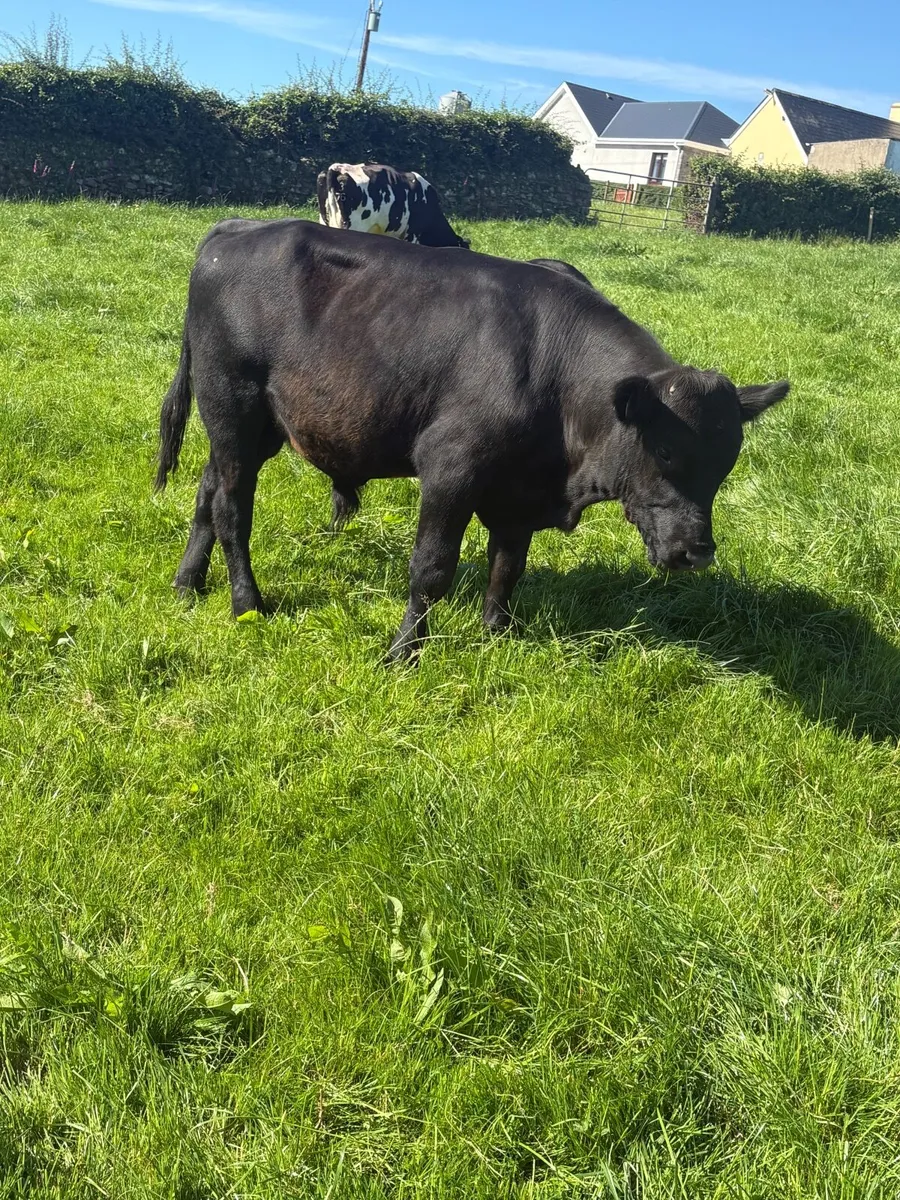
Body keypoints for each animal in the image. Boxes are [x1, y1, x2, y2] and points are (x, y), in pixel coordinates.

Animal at [155, 218, 788, 663]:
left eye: (726, 465)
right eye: (665, 450)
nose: (695, 552)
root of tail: (236, 228)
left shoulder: (518, 492)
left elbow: (507, 566)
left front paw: (496, 635)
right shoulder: (450, 468)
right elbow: (432, 569)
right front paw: (403, 654)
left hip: (252, 427)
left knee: (208, 493)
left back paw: (187, 584)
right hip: (232, 409)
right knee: (233, 510)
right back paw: (246, 604)